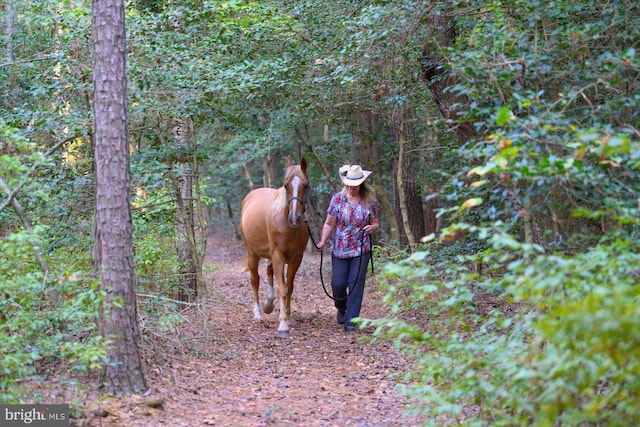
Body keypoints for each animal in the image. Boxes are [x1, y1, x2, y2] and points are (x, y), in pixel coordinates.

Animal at [240, 157, 310, 338]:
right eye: (286, 185)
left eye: (305, 185)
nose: (294, 218)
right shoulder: (278, 255)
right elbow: (283, 289)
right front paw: (283, 325)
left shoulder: (296, 258)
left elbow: (289, 287)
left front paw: (287, 318)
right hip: (252, 253)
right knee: (255, 280)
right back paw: (258, 313)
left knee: (269, 271)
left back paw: (269, 304)